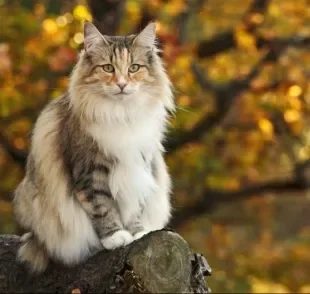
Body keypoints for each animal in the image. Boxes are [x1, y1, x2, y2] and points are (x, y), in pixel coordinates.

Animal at [12, 21, 174, 274]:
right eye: (108, 68)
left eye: (134, 68)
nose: (121, 84)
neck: (122, 114)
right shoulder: (90, 171)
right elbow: (103, 206)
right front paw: (116, 237)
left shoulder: (140, 166)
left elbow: (135, 207)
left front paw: (138, 233)